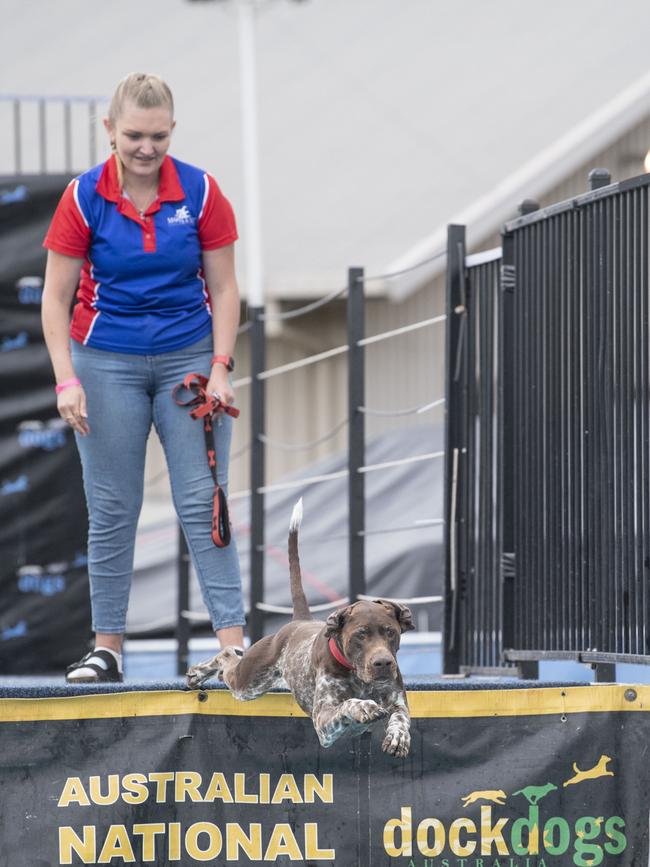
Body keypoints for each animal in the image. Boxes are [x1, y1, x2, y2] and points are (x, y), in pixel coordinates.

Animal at [185, 498, 412, 756]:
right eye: (360, 635)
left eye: (390, 632)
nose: (383, 663)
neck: (359, 677)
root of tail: (299, 620)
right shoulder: (323, 722)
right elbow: (348, 703)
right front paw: (363, 707)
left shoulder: (397, 701)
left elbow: (400, 717)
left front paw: (398, 736)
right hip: (246, 684)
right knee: (227, 657)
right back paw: (198, 672)